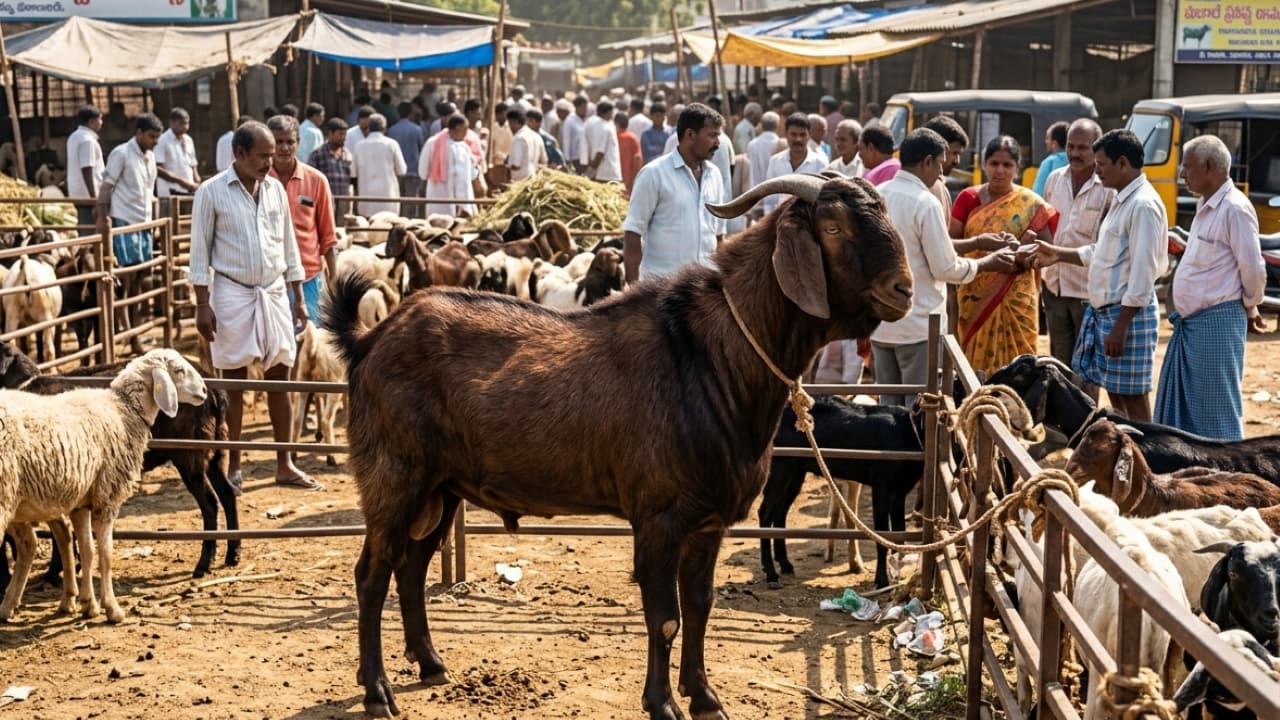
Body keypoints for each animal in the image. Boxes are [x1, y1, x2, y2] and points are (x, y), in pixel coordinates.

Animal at [759, 397, 922, 589]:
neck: (908, 431)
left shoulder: (900, 492)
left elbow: (899, 535)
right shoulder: (881, 487)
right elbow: (882, 537)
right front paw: (881, 581)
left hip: (795, 473)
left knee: (780, 512)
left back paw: (785, 564)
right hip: (779, 469)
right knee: (765, 513)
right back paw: (771, 574)